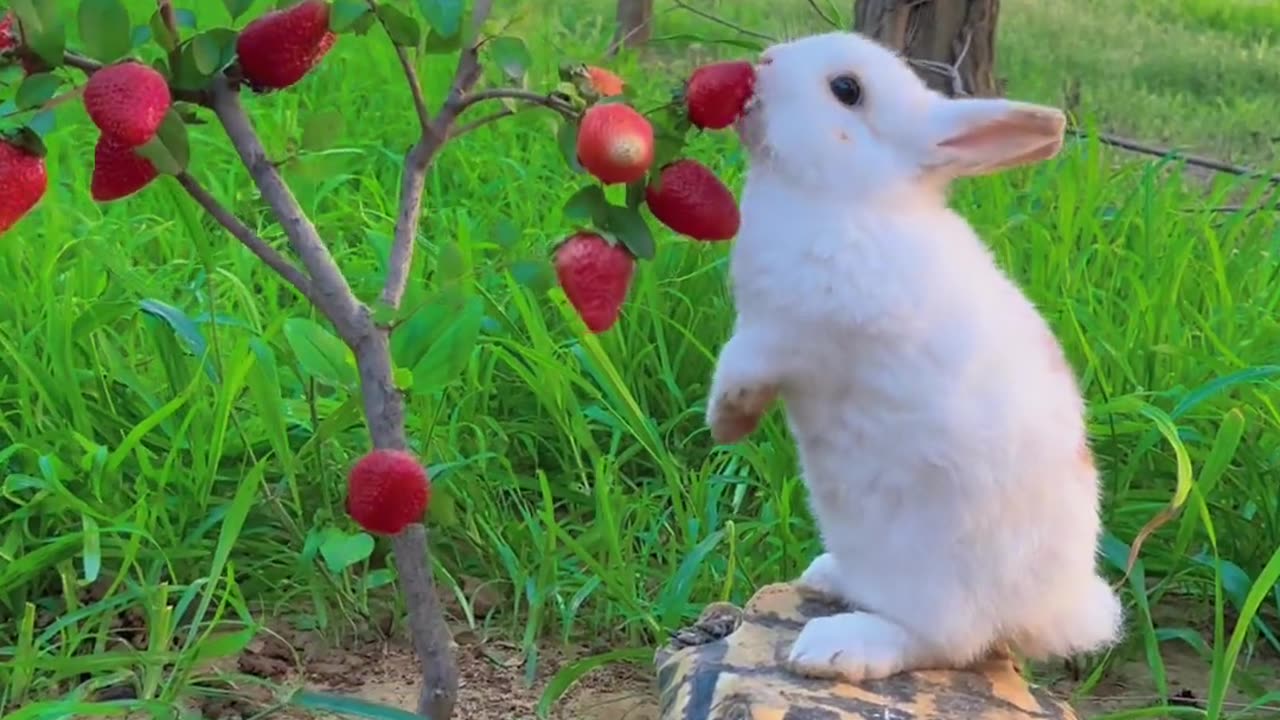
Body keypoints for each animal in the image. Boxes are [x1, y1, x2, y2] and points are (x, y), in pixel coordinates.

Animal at [706, 30, 1126, 681]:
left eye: (846, 89)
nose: (765, 61)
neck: (847, 199)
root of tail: (1050, 610)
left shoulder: (786, 335)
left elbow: (739, 366)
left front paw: (726, 421)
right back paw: (827, 575)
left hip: (938, 584)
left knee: (947, 643)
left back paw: (836, 647)